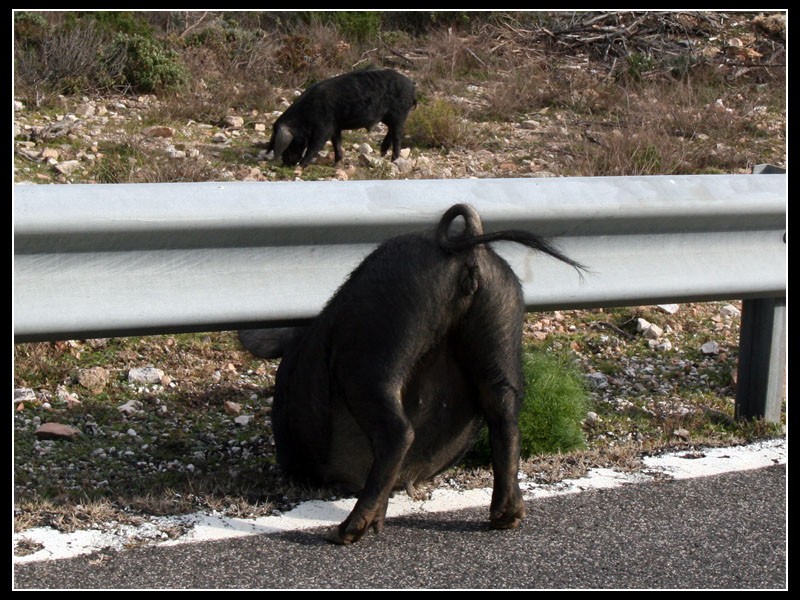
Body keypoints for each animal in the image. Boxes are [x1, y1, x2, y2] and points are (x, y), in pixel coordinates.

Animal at [244, 204, 588, 548]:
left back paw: (347, 531)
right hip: (501, 317)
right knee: (504, 414)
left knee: (397, 432)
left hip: (379, 341)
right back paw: (506, 518)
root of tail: (461, 248)